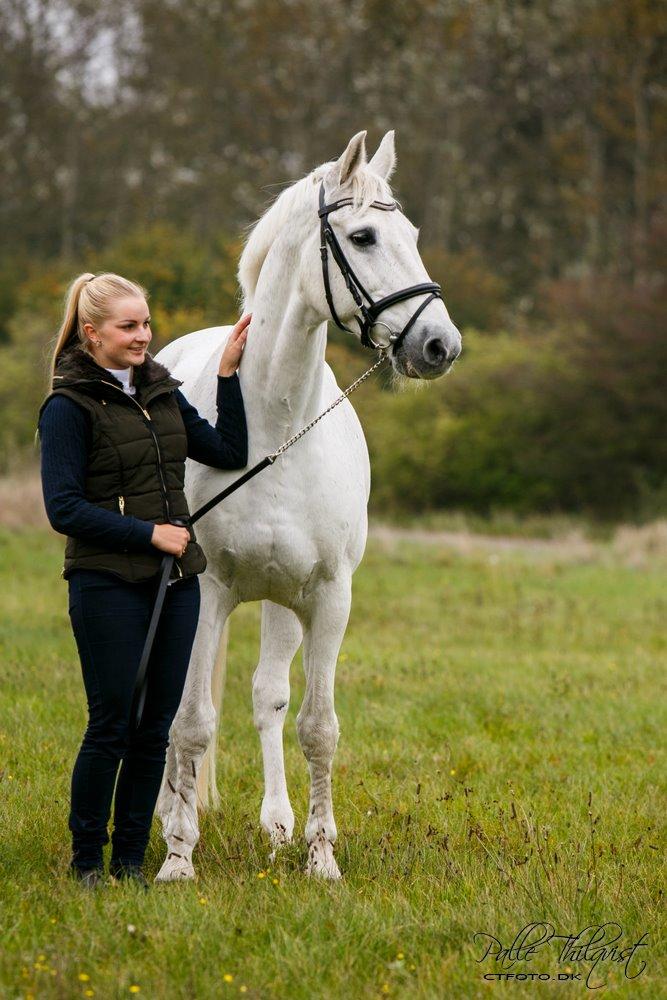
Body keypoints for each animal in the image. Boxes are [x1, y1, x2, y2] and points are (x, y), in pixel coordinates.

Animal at [154, 127, 462, 884]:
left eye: (411, 234)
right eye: (362, 236)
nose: (439, 345)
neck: (274, 423)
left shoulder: (326, 597)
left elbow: (316, 726)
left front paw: (321, 858)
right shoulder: (205, 592)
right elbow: (192, 722)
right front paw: (178, 856)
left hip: (278, 603)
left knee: (268, 694)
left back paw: (276, 825)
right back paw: (166, 814)